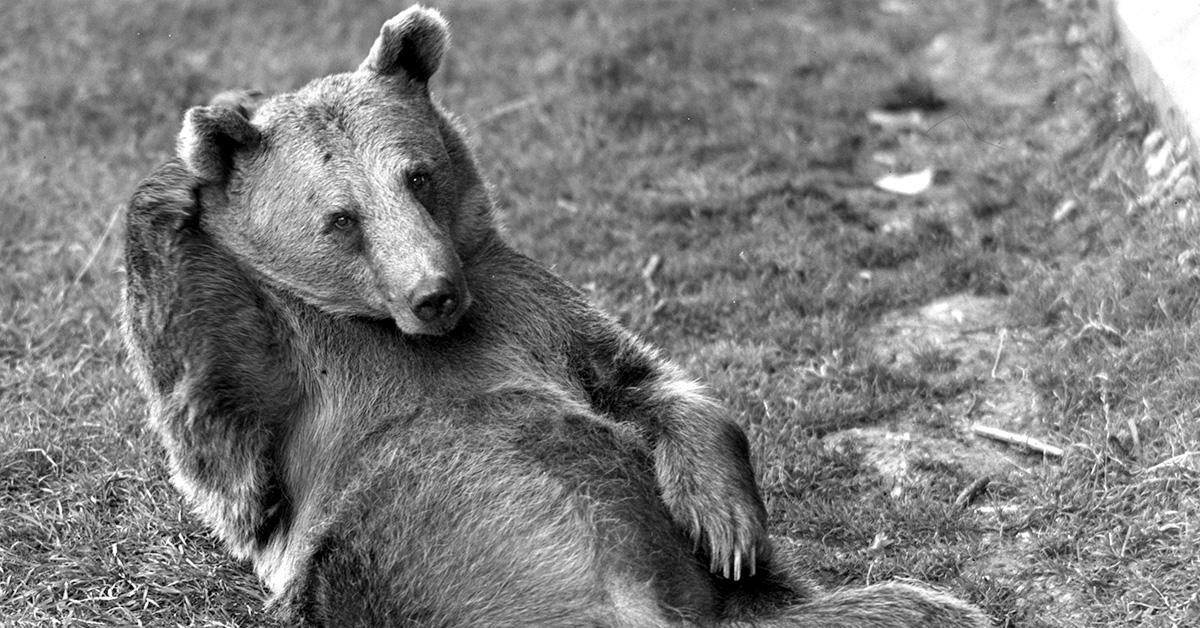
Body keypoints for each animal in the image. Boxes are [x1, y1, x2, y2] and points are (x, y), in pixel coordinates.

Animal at [121, 6, 988, 628]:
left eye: (418, 174)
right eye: (341, 217)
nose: (433, 293)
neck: (392, 330)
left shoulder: (525, 305)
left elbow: (642, 380)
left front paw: (726, 522)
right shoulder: (297, 394)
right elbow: (223, 437)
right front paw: (175, 182)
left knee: (917, 607)